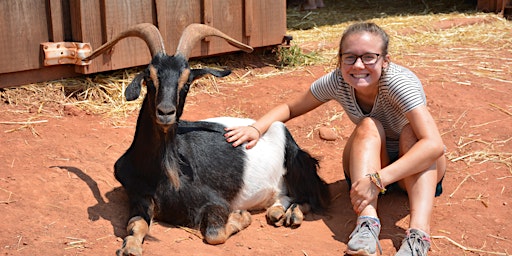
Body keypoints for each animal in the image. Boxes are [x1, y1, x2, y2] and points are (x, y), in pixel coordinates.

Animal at [83, 23, 332, 255]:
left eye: (186, 83)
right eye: (150, 78)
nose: (165, 112)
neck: (163, 170)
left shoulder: (215, 201)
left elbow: (215, 235)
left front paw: (241, 216)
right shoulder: (138, 196)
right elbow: (135, 225)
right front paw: (131, 247)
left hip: (298, 163)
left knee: (313, 195)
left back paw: (292, 215)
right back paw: (277, 211)